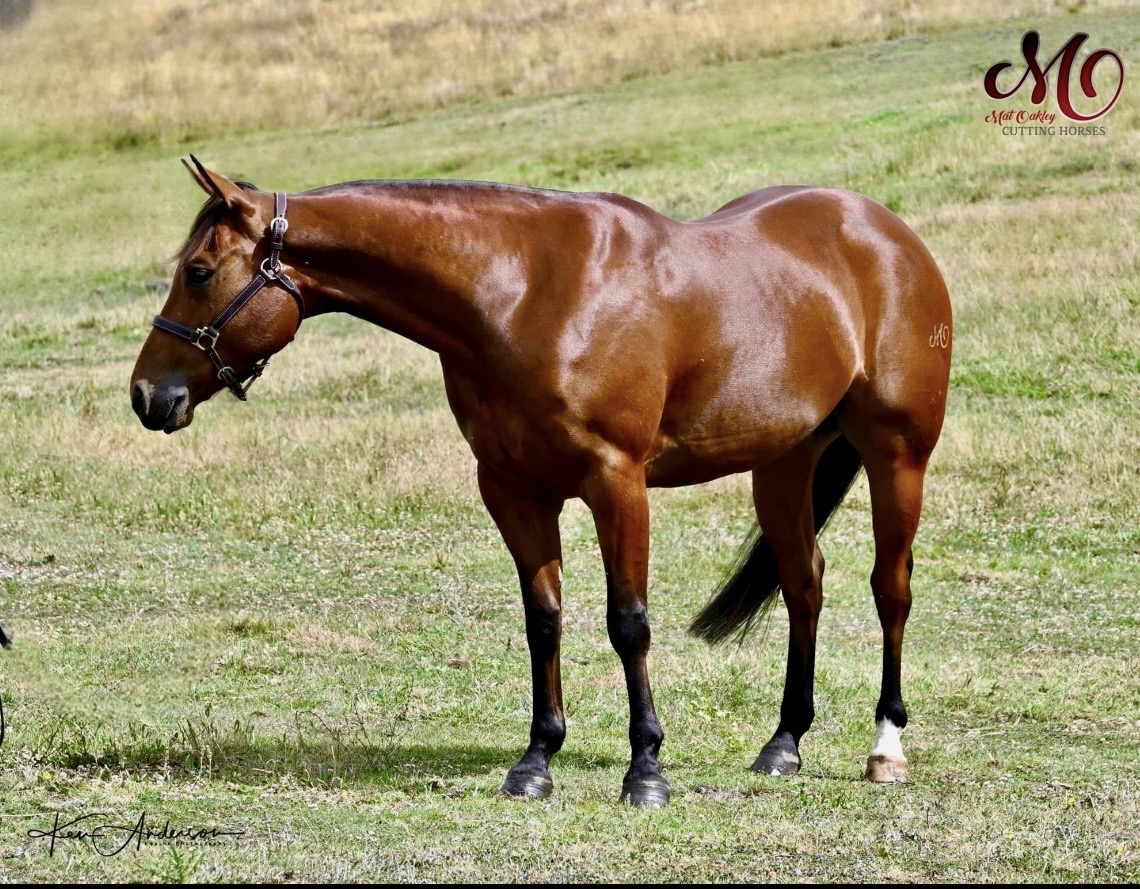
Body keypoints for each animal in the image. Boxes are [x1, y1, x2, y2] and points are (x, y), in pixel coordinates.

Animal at [130, 158, 952, 806]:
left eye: (198, 272)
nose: (147, 395)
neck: (522, 294)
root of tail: (887, 233)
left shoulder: (617, 482)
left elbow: (628, 622)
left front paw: (645, 770)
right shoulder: (513, 489)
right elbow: (543, 619)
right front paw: (536, 760)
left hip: (896, 455)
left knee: (891, 588)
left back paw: (886, 747)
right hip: (782, 462)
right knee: (804, 581)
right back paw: (784, 742)